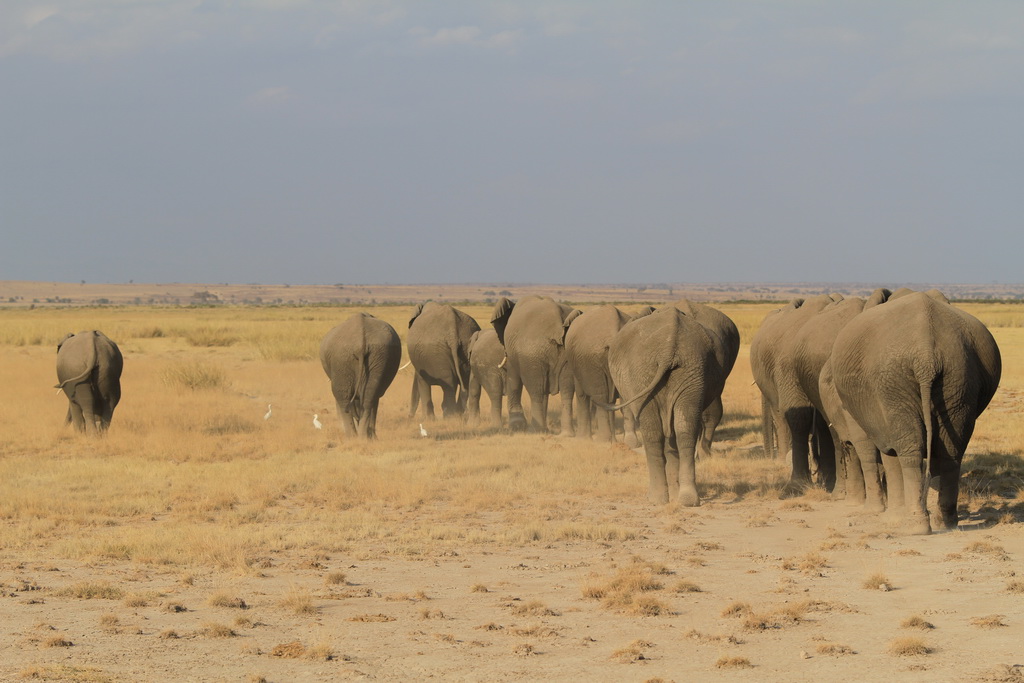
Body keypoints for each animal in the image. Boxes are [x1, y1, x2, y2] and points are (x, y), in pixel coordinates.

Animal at [489, 296, 581, 436]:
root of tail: (558, 325)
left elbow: (513, 380)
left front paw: (516, 426)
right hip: (566, 351)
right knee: (566, 389)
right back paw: (566, 434)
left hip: (532, 353)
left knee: (536, 389)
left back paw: (535, 431)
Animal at [565, 303, 651, 444]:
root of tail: (614, 332)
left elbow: (581, 394)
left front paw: (581, 440)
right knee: (621, 395)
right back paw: (629, 443)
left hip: (591, 359)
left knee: (600, 397)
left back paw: (603, 441)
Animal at [606, 307, 729, 505]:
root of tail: (670, 347)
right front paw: (676, 492)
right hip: (692, 368)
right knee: (685, 428)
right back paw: (688, 499)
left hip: (642, 372)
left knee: (652, 431)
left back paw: (656, 498)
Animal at [831, 290, 999, 532]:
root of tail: (926, 355)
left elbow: (890, 450)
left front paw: (893, 516)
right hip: (959, 377)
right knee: (951, 451)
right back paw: (945, 522)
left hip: (894, 382)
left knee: (910, 450)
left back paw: (916, 524)